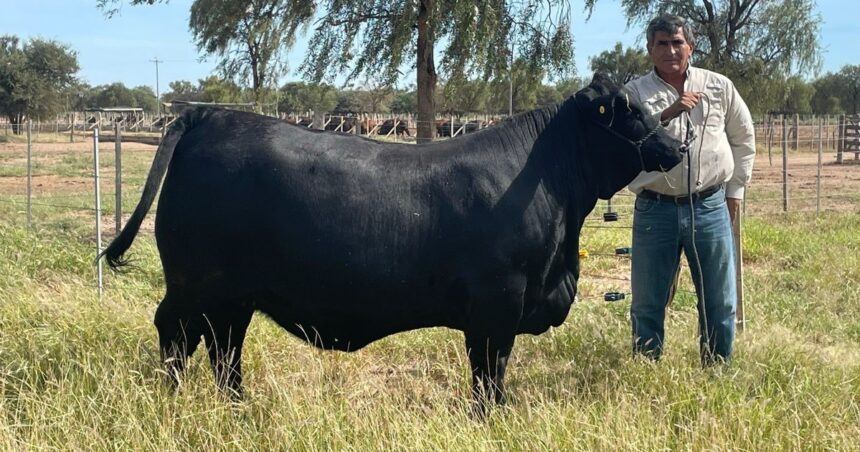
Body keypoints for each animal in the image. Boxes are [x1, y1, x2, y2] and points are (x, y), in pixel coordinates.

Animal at [101, 74, 680, 406]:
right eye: (628, 109)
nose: (676, 147)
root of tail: (209, 114)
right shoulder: (499, 304)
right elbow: (490, 375)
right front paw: (491, 417)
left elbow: (483, 373)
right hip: (195, 284)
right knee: (176, 334)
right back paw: (175, 403)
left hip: (232, 295)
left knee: (224, 349)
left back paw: (238, 408)